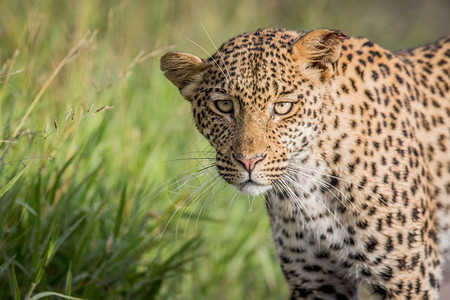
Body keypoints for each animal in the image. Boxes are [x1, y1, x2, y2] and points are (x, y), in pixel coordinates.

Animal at [160, 27, 448, 298]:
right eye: (223, 106)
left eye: (283, 107)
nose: (248, 161)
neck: (308, 184)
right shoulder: (317, 281)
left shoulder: (408, 280)